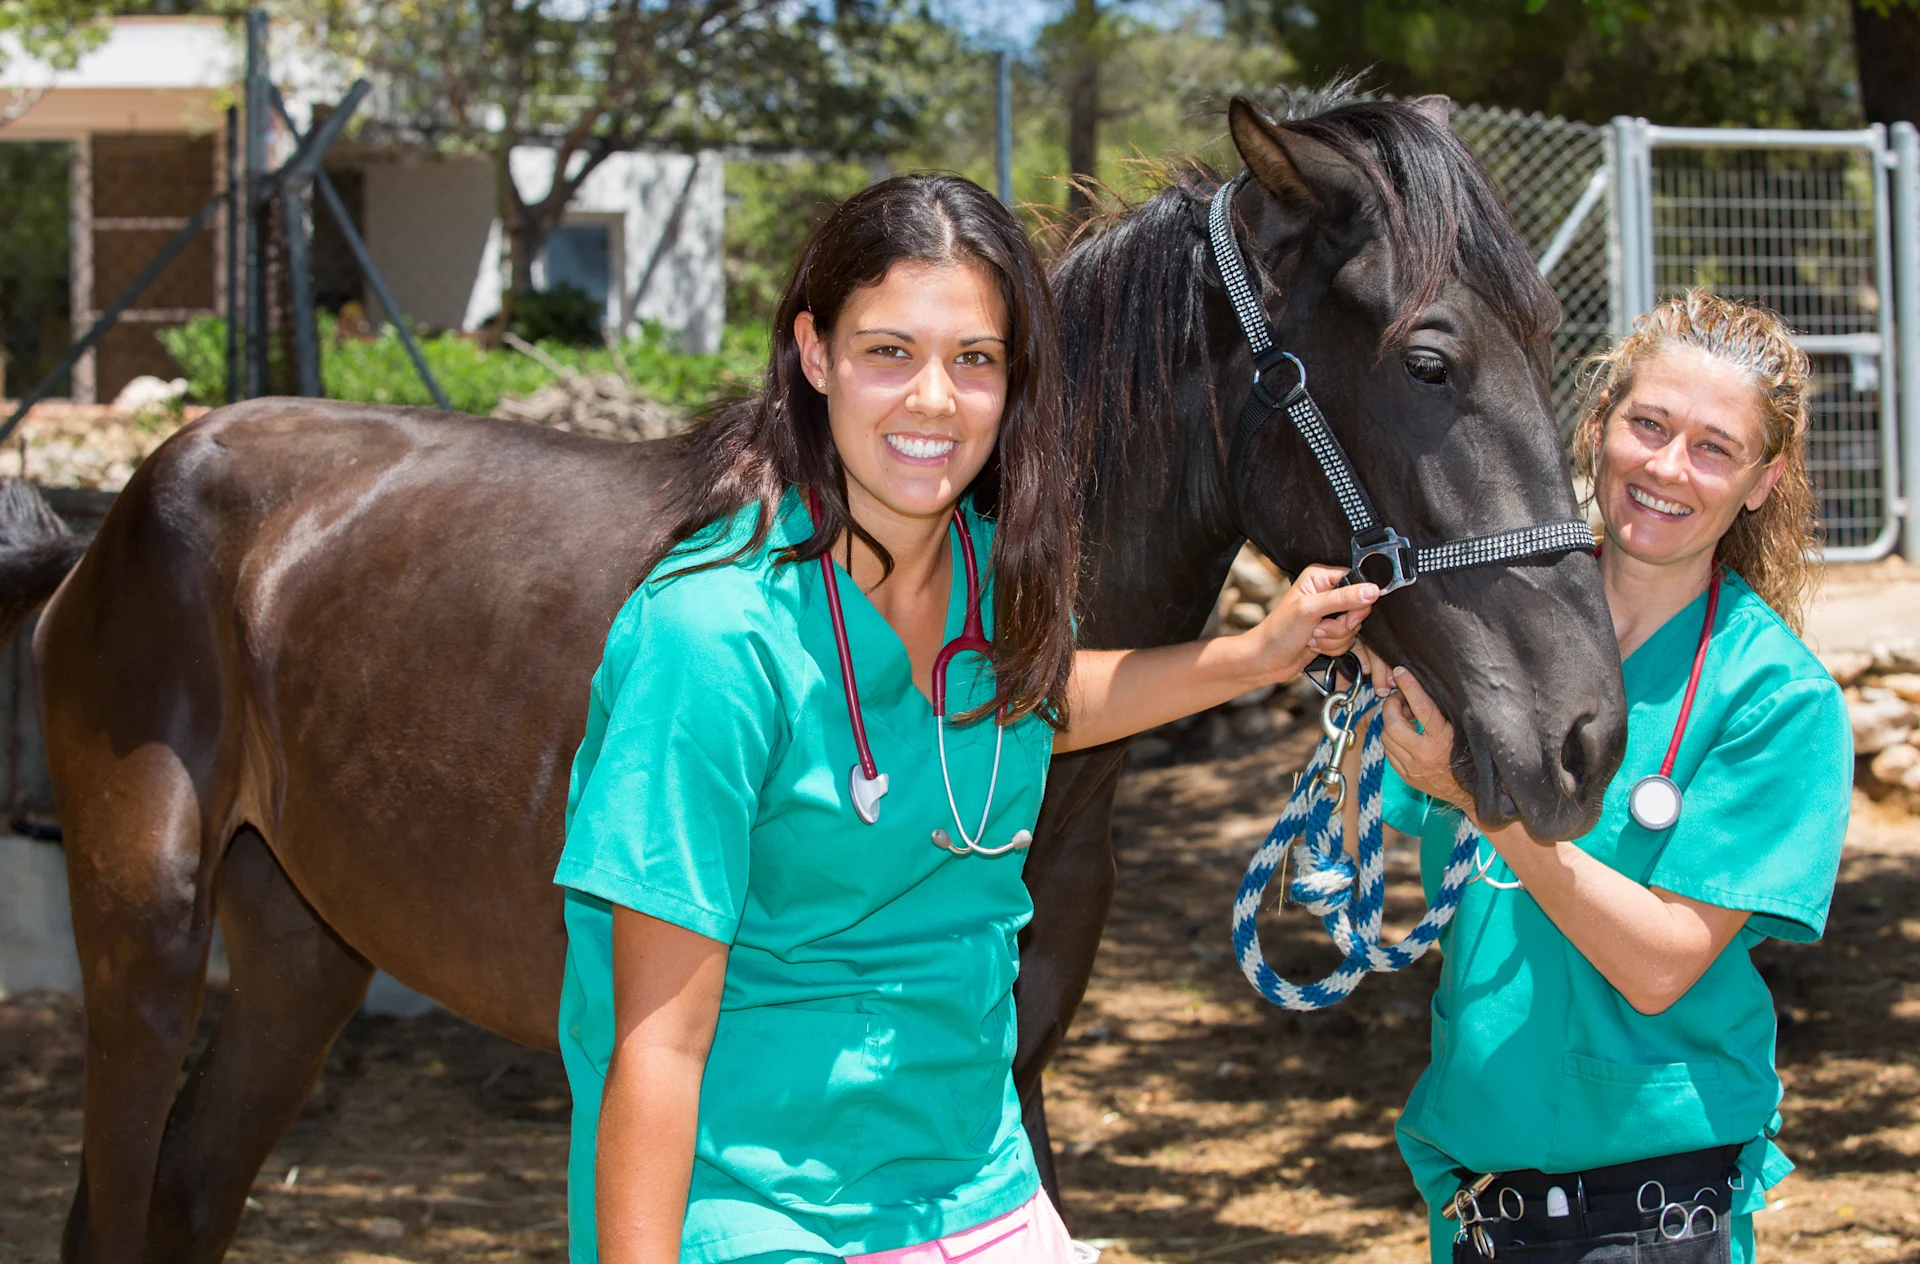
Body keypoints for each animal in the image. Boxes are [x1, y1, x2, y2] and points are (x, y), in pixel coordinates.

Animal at [11, 89, 1626, 1263]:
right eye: (1428, 360)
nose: (1584, 736)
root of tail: (136, 501)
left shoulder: (1008, 1072)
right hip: (144, 944)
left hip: (301, 955)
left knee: (188, 1197)